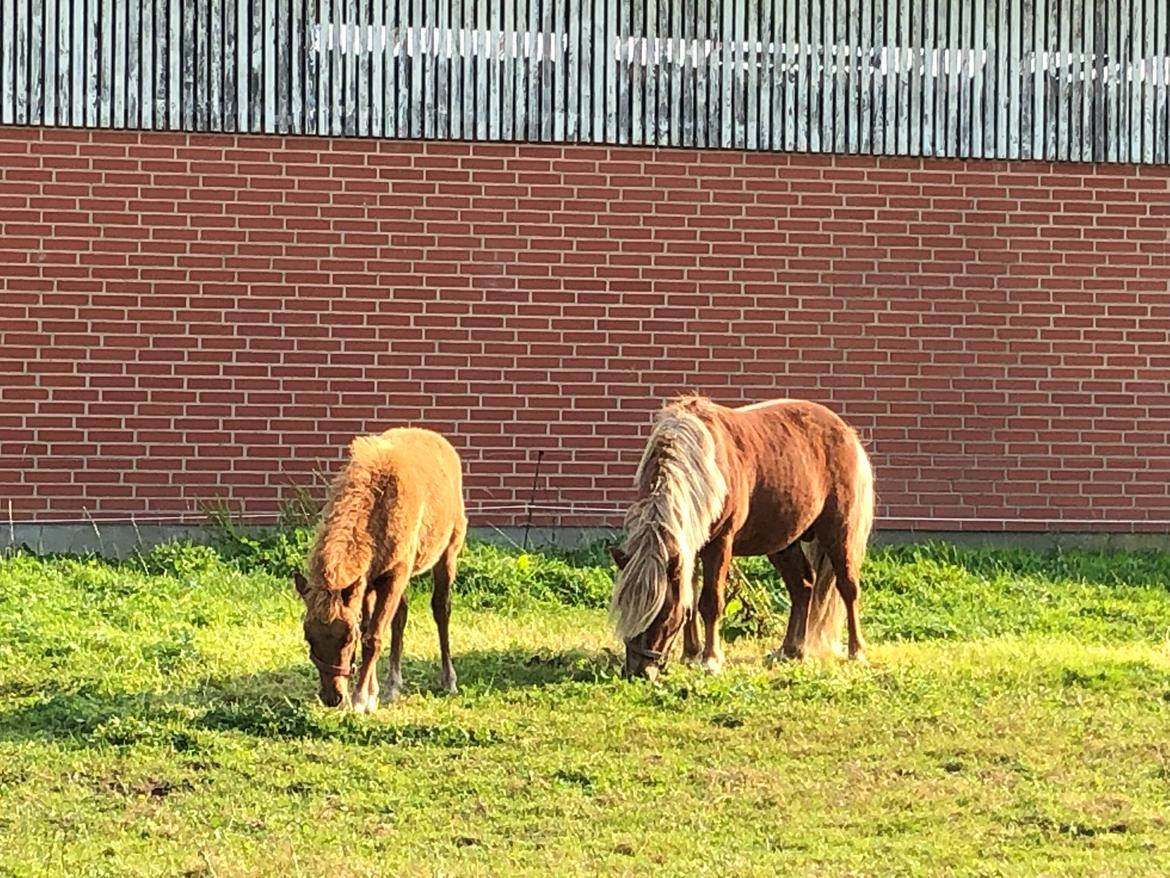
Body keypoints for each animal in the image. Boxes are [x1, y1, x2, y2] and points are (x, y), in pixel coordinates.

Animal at [292, 428, 465, 716]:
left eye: (346, 637)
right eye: (308, 635)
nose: (332, 697)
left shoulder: (395, 574)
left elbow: (372, 637)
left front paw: (361, 698)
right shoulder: (367, 581)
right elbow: (370, 628)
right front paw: (372, 692)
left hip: (447, 554)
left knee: (442, 608)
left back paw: (448, 680)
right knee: (400, 615)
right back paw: (392, 685)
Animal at [608, 398, 875, 678]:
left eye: (661, 614)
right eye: (623, 610)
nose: (637, 672)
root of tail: (846, 432)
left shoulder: (719, 543)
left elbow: (710, 602)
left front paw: (710, 659)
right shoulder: (689, 548)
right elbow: (690, 600)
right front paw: (690, 654)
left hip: (839, 533)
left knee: (848, 587)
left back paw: (856, 652)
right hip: (783, 542)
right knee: (802, 586)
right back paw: (790, 651)